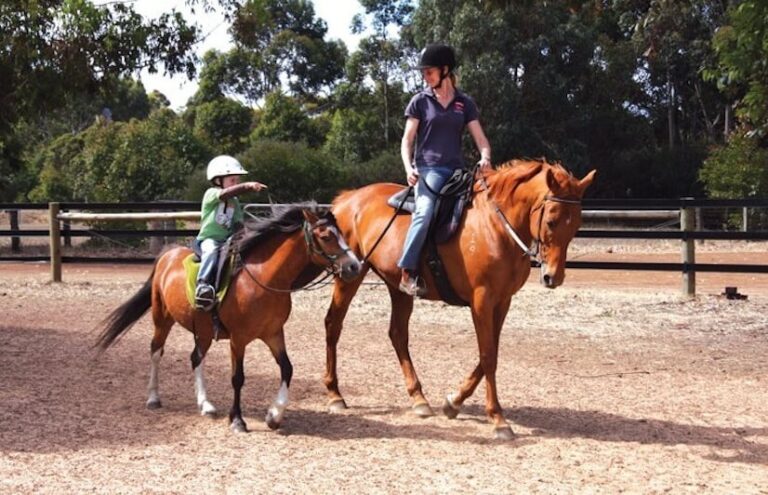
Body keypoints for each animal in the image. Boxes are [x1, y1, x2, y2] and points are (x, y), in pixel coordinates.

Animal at [96, 203, 362, 433]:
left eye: (342, 234)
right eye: (326, 236)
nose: (355, 266)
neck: (262, 278)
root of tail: (168, 255)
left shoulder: (273, 333)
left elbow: (287, 368)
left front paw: (274, 415)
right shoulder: (238, 338)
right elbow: (237, 378)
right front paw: (238, 421)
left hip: (202, 330)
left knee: (195, 358)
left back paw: (206, 405)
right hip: (162, 319)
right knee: (156, 351)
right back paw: (153, 397)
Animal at [323, 159, 596, 439]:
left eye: (576, 225)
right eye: (551, 221)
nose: (553, 276)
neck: (496, 226)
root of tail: (347, 200)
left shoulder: (502, 301)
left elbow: (490, 352)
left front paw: (453, 402)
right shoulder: (482, 300)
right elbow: (488, 356)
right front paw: (498, 419)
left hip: (397, 287)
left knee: (397, 334)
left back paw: (419, 398)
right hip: (350, 276)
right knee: (334, 324)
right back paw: (335, 394)